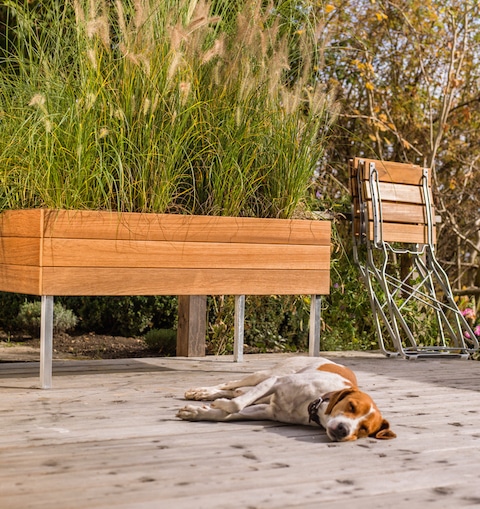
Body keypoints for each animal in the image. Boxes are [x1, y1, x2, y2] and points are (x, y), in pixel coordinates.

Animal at [175, 354, 394, 440]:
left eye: (364, 429)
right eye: (351, 406)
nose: (343, 430)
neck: (313, 403)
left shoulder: (266, 410)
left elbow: (229, 412)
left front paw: (197, 412)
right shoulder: (275, 382)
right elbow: (235, 405)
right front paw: (215, 404)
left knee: (237, 391)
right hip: (265, 374)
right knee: (230, 385)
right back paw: (203, 392)